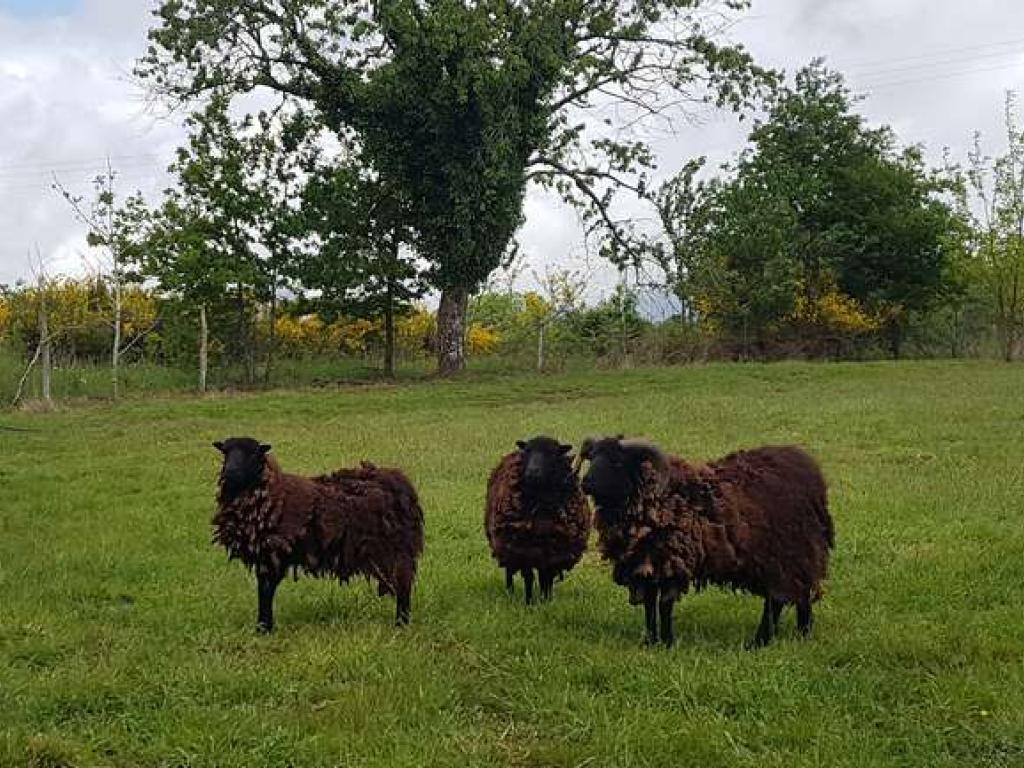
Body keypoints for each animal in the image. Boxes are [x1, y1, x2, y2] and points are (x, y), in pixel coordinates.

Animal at [211, 438, 423, 630]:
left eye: (253, 453)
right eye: (225, 452)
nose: (230, 471)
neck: (273, 493)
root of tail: (399, 481)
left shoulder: (273, 553)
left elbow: (266, 590)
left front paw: (263, 627)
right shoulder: (267, 556)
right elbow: (265, 590)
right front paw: (264, 626)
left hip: (394, 550)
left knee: (403, 587)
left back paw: (401, 624)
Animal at [485, 436, 593, 606]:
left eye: (552, 454)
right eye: (528, 451)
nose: (532, 472)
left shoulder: (553, 552)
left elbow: (546, 580)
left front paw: (547, 601)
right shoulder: (523, 550)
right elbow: (529, 579)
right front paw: (529, 602)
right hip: (505, 543)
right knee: (509, 571)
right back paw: (510, 592)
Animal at [577, 438, 831, 651]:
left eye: (617, 462)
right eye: (593, 457)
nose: (585, 482)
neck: (658, 500)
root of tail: (811, 473)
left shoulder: (673, 562)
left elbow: (665, 605)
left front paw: (667, 642)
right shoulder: (646, 565)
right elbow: (649, 606)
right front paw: (650, 641)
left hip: (784, 554)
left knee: (776, 599)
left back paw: (760, 641)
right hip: (796, 556)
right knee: (798, 594)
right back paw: (802, 633)